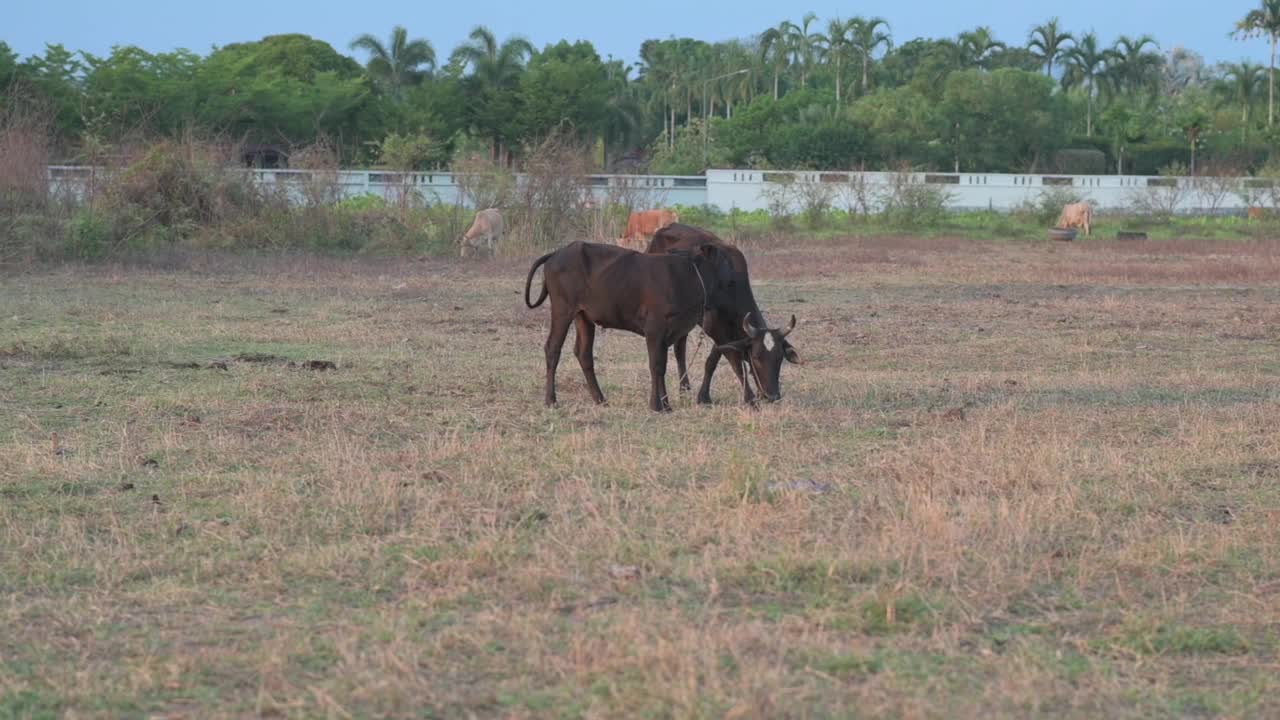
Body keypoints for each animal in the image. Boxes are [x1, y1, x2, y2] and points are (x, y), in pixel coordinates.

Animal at [524, 239, 737, 409]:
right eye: (725, 261)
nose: (734, 275)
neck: (688, 276)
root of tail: (557, 253)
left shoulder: (667, 334)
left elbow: (662, 366)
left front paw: (666, 404)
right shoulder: (655, 329)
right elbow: (656, 366)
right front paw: (657, 405)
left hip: (583, 317)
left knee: (584, 354)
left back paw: (600, 399)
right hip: (562, 311)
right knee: (553, 349)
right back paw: (551, 401)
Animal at [650, 222, 798, 404]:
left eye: (779, 358)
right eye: (756, 357)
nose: (772, 396)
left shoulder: (724, 332)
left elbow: (712, 361)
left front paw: (704, 396)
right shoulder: (716, 328)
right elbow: (736, 363)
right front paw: (749, 397)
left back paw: (684, 389)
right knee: (679, 351)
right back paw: (682, 389)